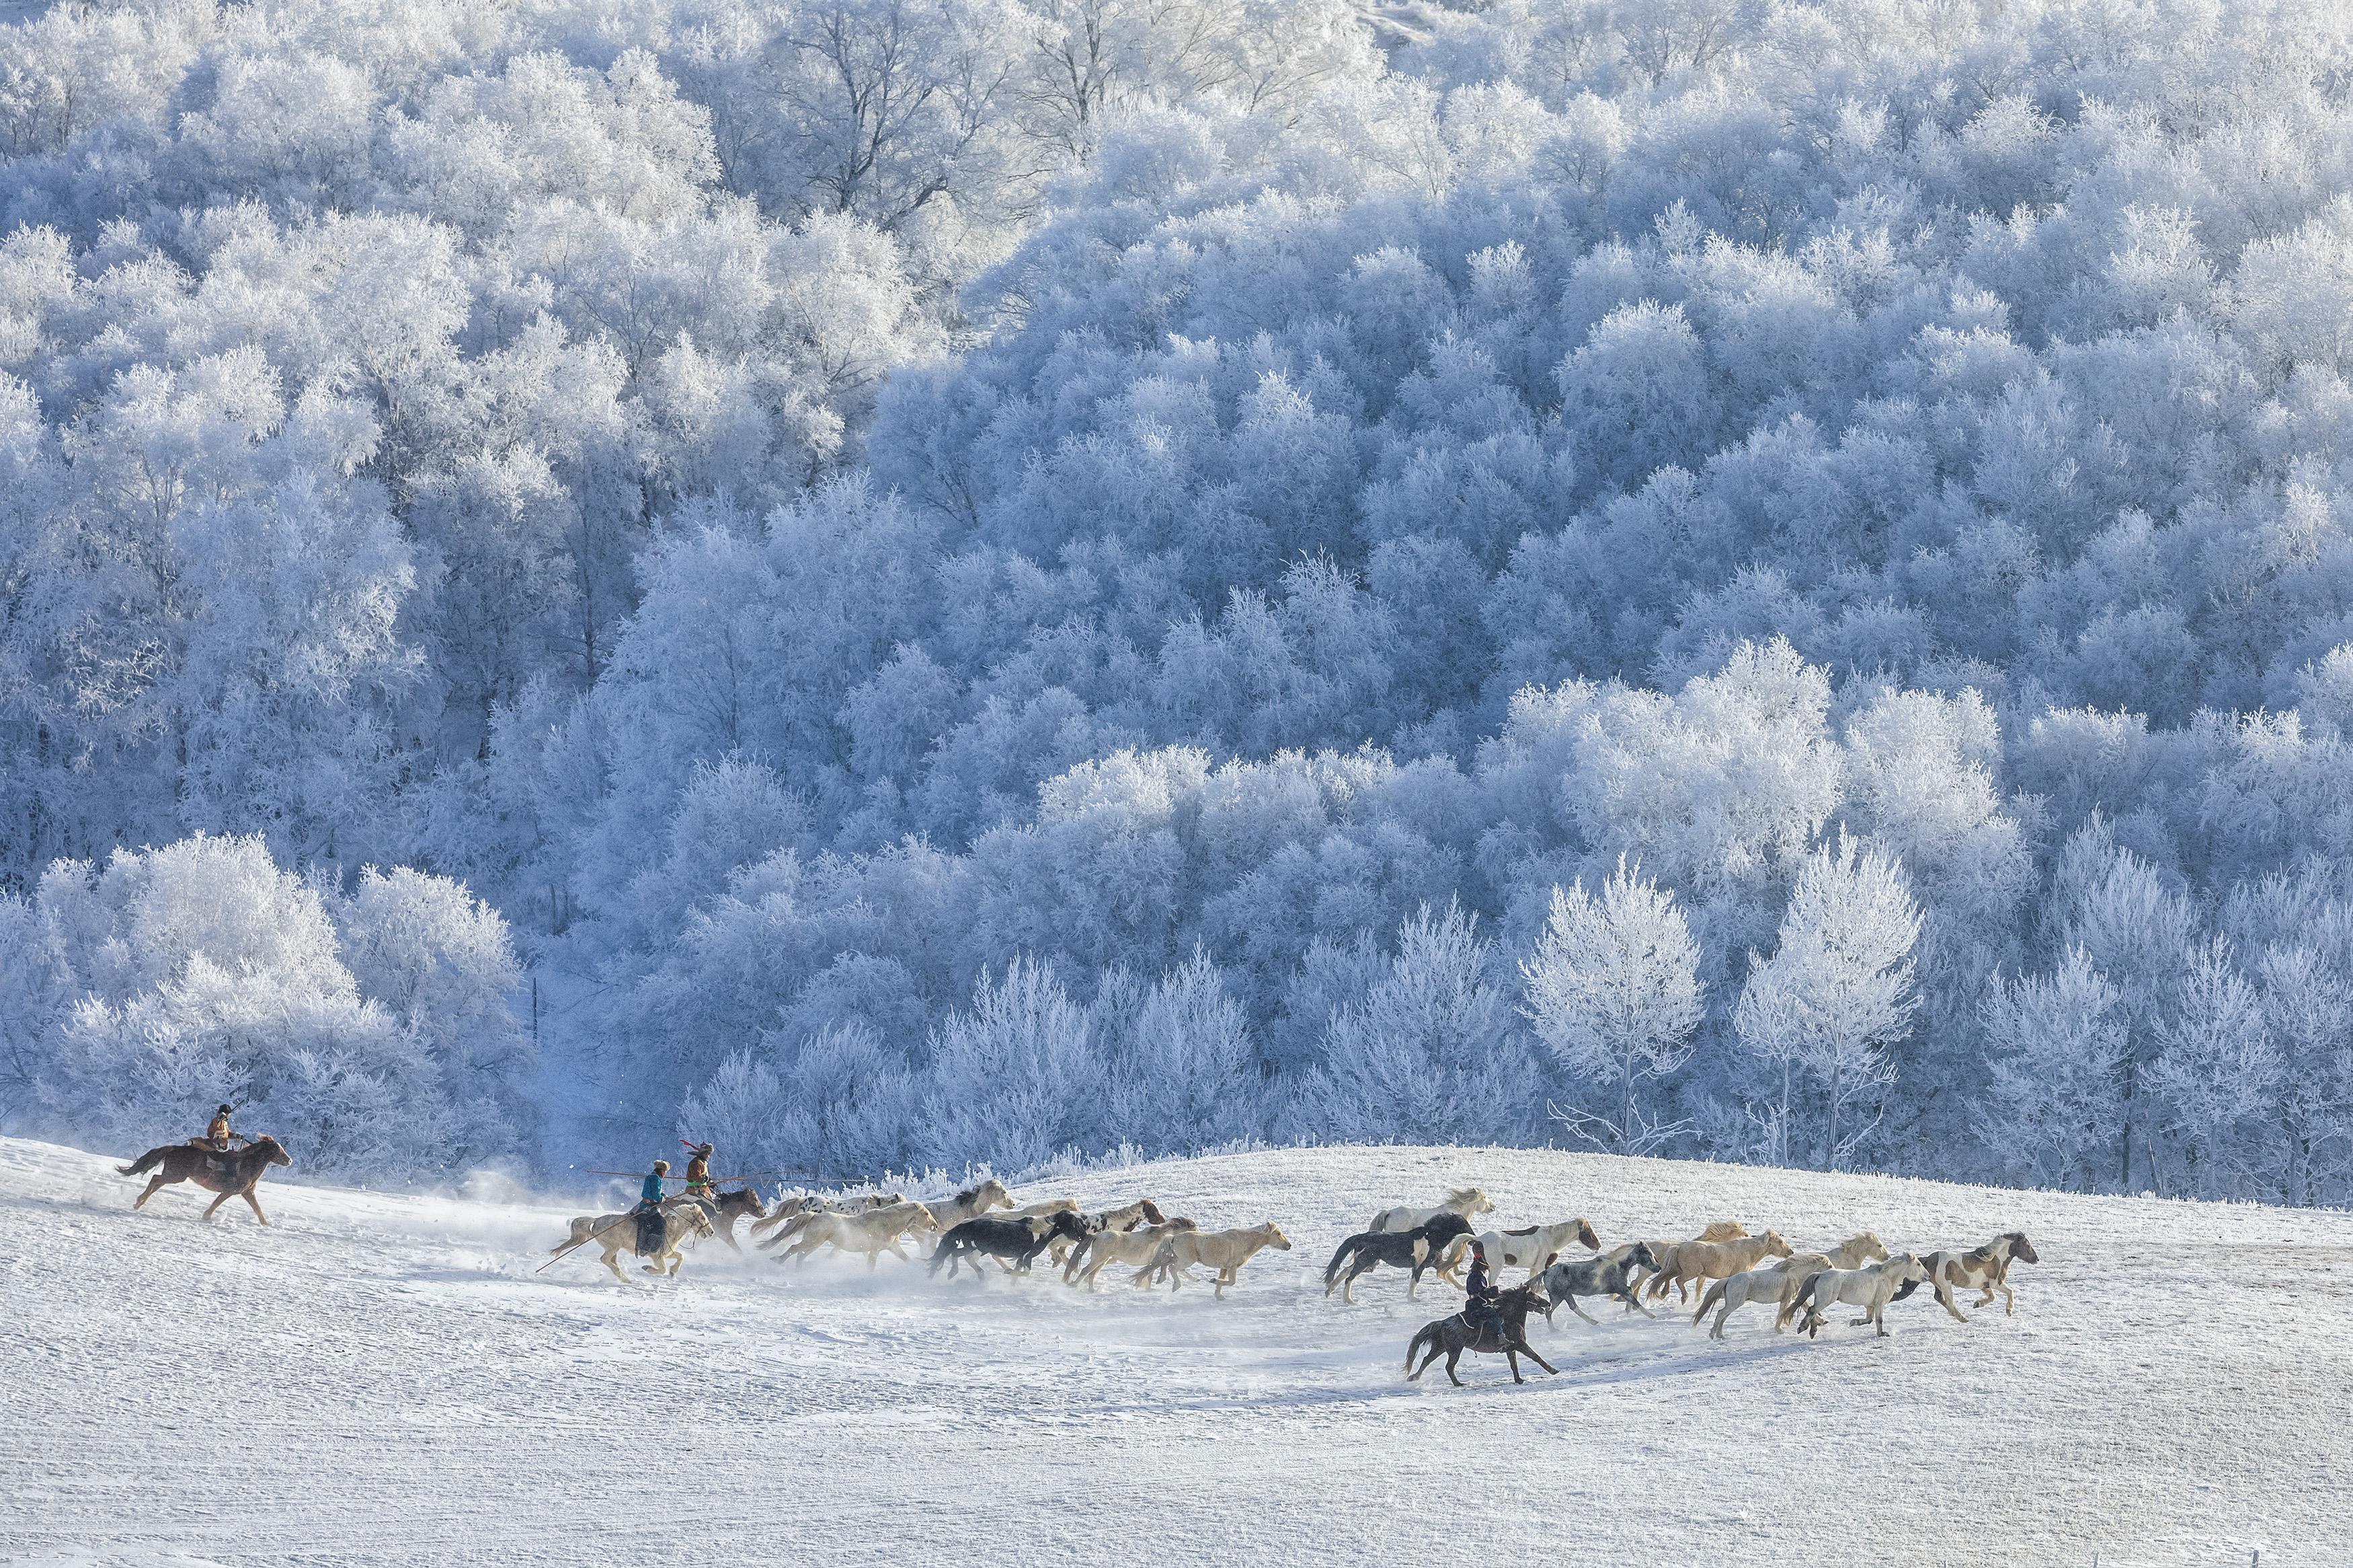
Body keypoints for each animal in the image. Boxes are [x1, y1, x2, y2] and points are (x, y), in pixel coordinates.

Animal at [116, 1142, 294, 1222]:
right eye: (277, 1149)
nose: (289, 1160)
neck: (246, 1164)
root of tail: (175, 1148)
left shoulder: (247, 1192)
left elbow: (257, 1209)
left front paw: (266, 1224)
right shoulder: (230, 1191)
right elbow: (217, 1203)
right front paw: (207, 1216)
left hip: (172, 1175)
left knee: (156, 1183)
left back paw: (139, 1202)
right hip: (175, 1176)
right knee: (155, 1179)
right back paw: (139, 1202)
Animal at [927, 1212, 1092, 1278]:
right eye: (1074, 1224)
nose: (1084, 1236)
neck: (1040, 1233)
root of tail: (966, 1224)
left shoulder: (1021, 1257)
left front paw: (1010, 1273)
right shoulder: (1027, 1256)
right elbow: (1027, 1273)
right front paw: (1009, 1272)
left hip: (975, 1248)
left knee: (956, 1254)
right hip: (977, 1249)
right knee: (963, 1257)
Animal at [1327, 1212, 1468, 1307]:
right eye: (1463, 1224)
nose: (1472, 1235)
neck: (1431, 1238)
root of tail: (1361, 1237)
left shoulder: (1436, 1263)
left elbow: (1450, 1276)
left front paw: (1464, 1287)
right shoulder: (1420, 1265)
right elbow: (1415, 1281)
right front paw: (1413, 1299)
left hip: (1364, 1262)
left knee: (1346, 1271)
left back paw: (1329, 1291)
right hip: (1365, 1262)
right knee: (1349, 1278)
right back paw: (1349, 1301)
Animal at [1393, 1288, 1562, 1382]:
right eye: (1533, 1295)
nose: (1548, 1303)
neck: (1509, 1319)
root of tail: (1442, 1323)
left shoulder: (1511, 1349)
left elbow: (1513, 1364)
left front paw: (1519, 1380)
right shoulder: (1521, 1345)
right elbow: (1536, 1357)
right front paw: (1554, 1370)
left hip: (1440, 1348)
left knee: (1427, 1360)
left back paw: (1414, 1377)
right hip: (1454, 1350)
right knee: (1449, 1366)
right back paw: (1458, 1384)